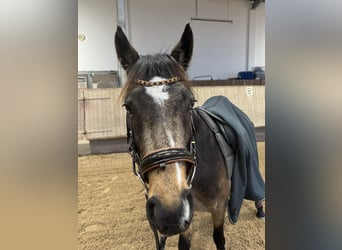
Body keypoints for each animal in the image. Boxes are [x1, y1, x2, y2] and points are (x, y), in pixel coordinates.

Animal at [115, 23, 264, 250]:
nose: (169, 211)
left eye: (190, 103)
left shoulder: (218, 208)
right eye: (128, 107)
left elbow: (219, 238)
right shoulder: (186, 219)